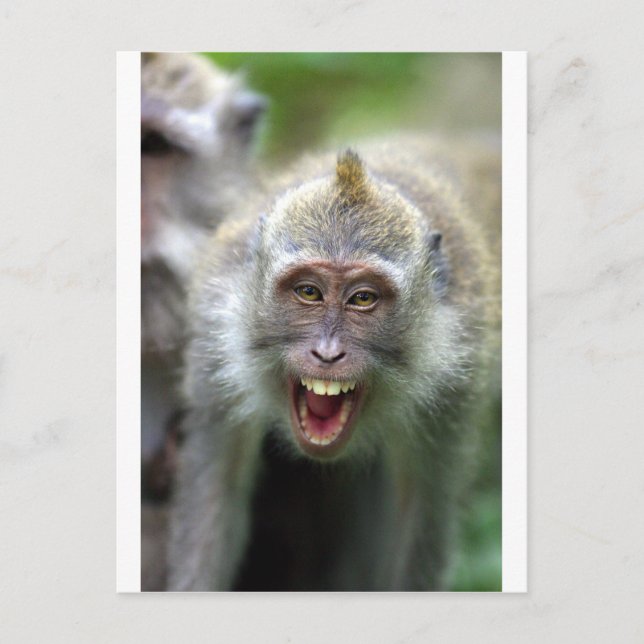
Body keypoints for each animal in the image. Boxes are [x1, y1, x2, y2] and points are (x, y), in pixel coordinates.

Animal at [167, 134, 501, 591]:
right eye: (309, 292)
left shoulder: (455, 383)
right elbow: (215, 497)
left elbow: (418, 516)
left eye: (363, 298)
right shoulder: (214, 334)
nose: (327, 353)